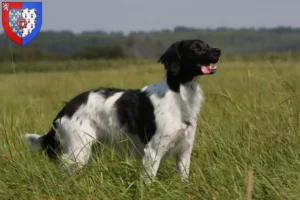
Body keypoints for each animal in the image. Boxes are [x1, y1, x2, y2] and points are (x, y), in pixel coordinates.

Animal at [24, 38, 220, 181]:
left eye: (207, 45)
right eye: (196, 48)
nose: (218, 51)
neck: (178, 94)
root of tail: (66, 108)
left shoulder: (184, 152)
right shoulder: (153, 151)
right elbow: (148, 180)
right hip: (78, 149)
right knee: (66, 167)